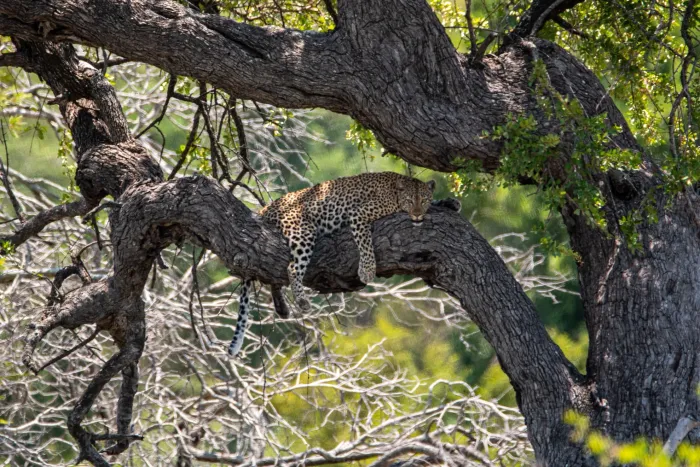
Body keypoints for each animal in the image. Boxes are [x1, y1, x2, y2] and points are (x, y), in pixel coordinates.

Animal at [228, 172, 436, 356]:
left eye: (424, 200)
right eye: (410, 201)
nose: (418, 216)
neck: (395, 192)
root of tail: (264, 209)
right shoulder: (358, 214)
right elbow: (365, 242)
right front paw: (367, 270)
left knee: (273, 274)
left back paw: (282, 308)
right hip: (303, 230)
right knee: (291, 268)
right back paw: (302, 301)